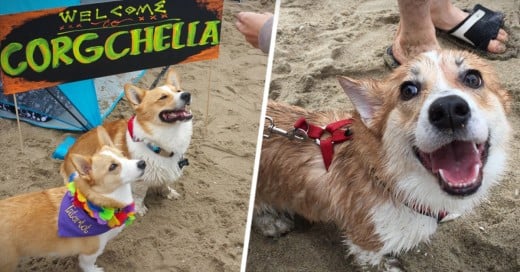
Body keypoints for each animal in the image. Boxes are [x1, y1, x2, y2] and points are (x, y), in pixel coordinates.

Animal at [0, 128, 144, 272]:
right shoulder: (91, 252)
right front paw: (95, 269)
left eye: (123, 154)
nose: (142, 163)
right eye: (112, 167)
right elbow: (87, 264)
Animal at [62, 67, 193, 215]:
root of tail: (66, 159)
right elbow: (140, 195)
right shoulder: (140, 180)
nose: (186, 94)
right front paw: (140, 209)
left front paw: (168, 193)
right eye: (163, 97)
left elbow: (164, 185)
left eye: (178, 91)